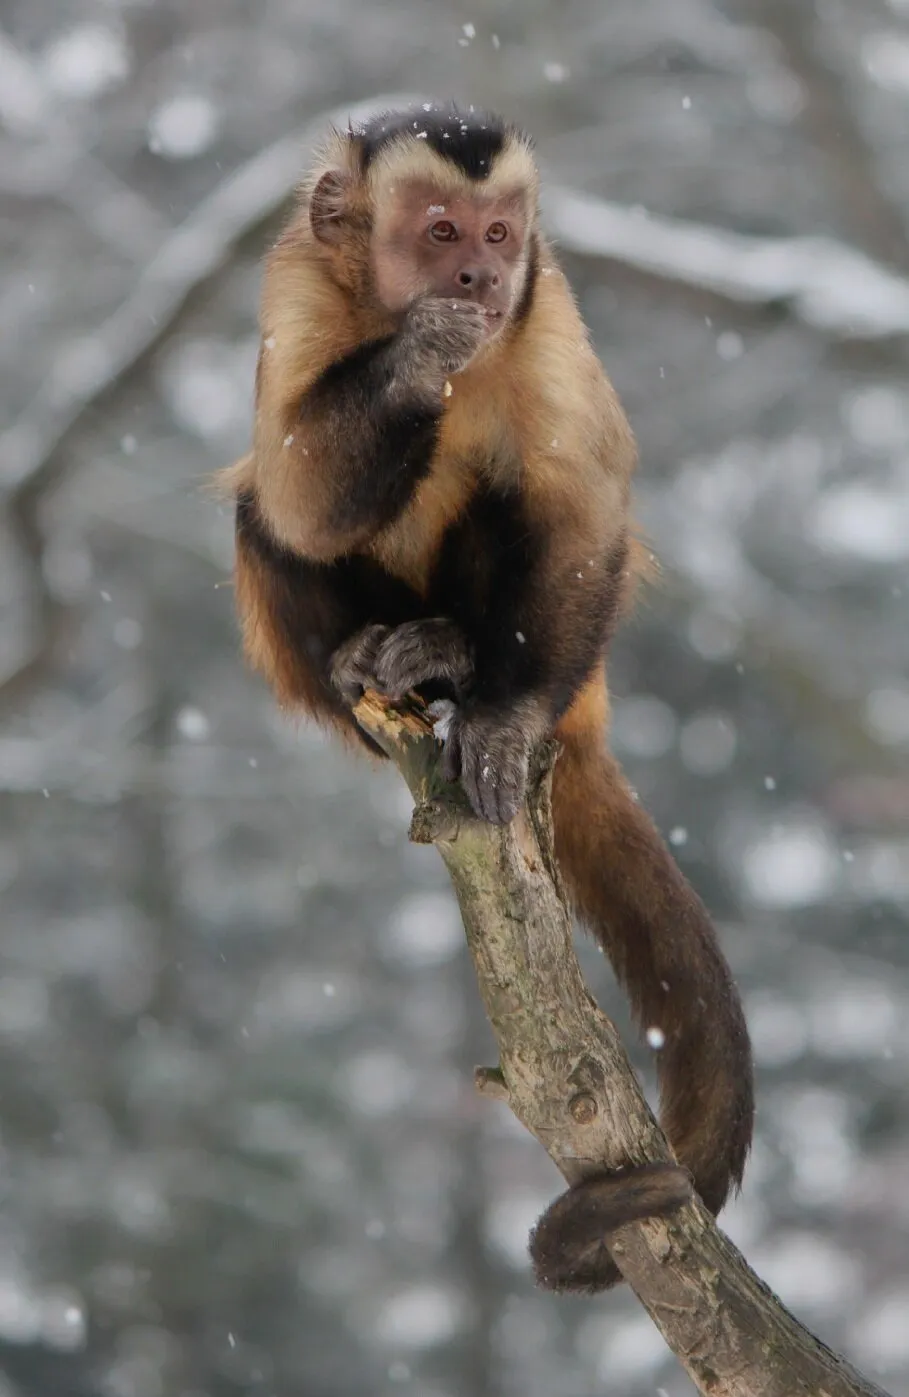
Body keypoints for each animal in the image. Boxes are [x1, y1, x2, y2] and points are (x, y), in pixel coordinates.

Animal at [224, 102, 754, 1292]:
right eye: (438, 231)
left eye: (501, 234)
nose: (475, 275)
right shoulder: (295, 284)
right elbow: (293, 492)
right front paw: (421, 351)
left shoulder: (543, 312)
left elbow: (580, 511)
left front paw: (500, 715)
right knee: (259, 510)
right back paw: (371, 659)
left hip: (574, 675)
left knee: (522, 501)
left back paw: (456, 659)